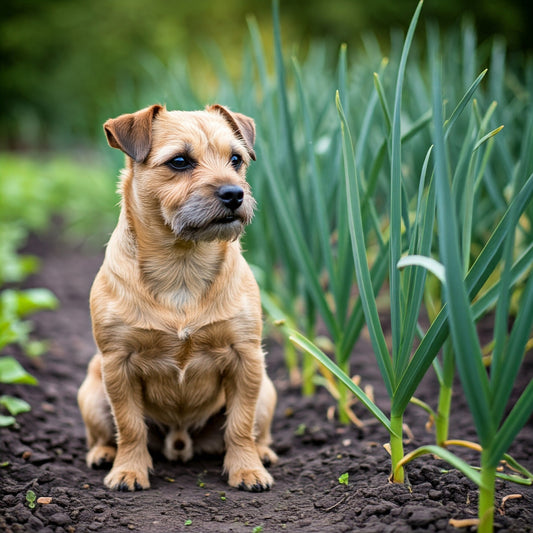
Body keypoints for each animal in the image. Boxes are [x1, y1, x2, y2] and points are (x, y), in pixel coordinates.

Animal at [79, 103, 280, 490]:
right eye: (180, 162)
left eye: (236, 159)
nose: (235, 193)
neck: (182, 267)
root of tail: (180, 441)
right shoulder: (117, 364)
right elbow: (129, 425)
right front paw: (129, 470)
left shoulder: (246, 358)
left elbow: (240, 424)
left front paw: (247, 469)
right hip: (92, 393)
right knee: (105, 433)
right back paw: (104, 454)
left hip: (267, 390)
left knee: (255, 429)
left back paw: (262, 453)